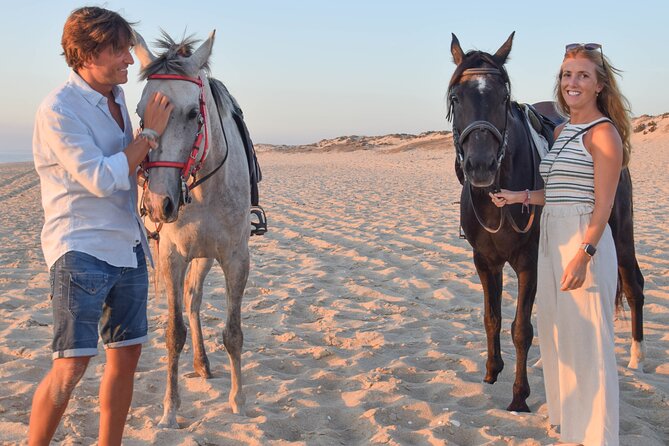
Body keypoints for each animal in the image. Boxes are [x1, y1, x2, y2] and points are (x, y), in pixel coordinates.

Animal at [133, 30, 252, 427]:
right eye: (140, 113)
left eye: (191, 113)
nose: (159, 204)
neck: (203, 186)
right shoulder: (172, 256)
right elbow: (174, 333)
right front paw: (170, 409)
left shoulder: (235, 259)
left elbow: (233, 333)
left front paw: (238, 401)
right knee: (188, 301)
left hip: (204, 256)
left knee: (194, 299)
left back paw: (202, 363)